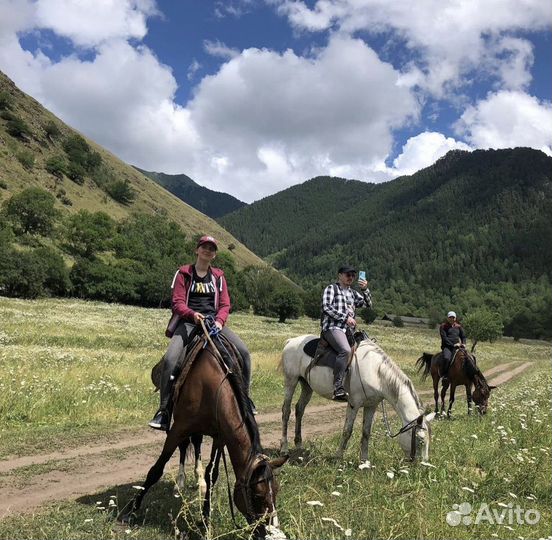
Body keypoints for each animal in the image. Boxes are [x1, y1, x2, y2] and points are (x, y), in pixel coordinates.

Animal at [122, 336, 286, 536]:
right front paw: (132, 510)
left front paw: (206, 520)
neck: (211, 386)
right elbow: (156, 470)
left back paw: (198, 480)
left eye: (276, 492)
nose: (272, 532)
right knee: (185, 446)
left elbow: (212, 474)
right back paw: (181, 481)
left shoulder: (220, 436)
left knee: (197, 444)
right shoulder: (179, 428)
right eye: (257, 495)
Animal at [280, 336, 436, 462]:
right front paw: (338, 458)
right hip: (291, 381)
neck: (376, 373)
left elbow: (366, 433)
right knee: (286, 411)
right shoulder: (354, 404)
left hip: (307, 386)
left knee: (299, 409)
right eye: (421, 440)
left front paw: (364, 462)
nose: (423, 465)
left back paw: (299, 445)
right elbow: (347, 431)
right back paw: (284, 448)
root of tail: (291, 341)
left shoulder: (371, 405)